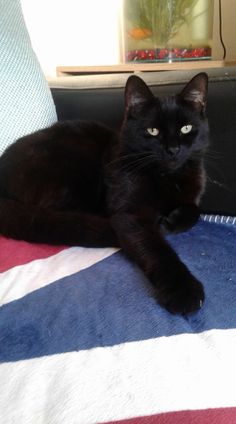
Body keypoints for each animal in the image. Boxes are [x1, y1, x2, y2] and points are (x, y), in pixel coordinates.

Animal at [0, 73, 208, 314]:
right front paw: (183, 290)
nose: (173, 150)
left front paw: (173, 220)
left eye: (186, 128)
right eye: (153, 131)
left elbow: (195, 210)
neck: (168, 177)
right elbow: (157, 249)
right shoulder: (130, 213)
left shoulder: (192, 193)